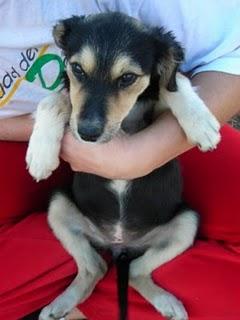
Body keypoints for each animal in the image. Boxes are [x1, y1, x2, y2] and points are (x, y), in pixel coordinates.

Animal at [25, 12, 219, 320]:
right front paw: (41, 153)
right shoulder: (75, 102)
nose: (87, 134)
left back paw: (168, 303)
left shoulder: (154, 113)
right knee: (96, 267)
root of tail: (120, 245)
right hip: (57, 205)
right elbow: (55, 98)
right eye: (77, 69)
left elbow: (171, 85)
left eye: (127, 77)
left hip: (188, 222)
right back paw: (59, 305)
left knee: (136, 271)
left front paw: (201, 123)